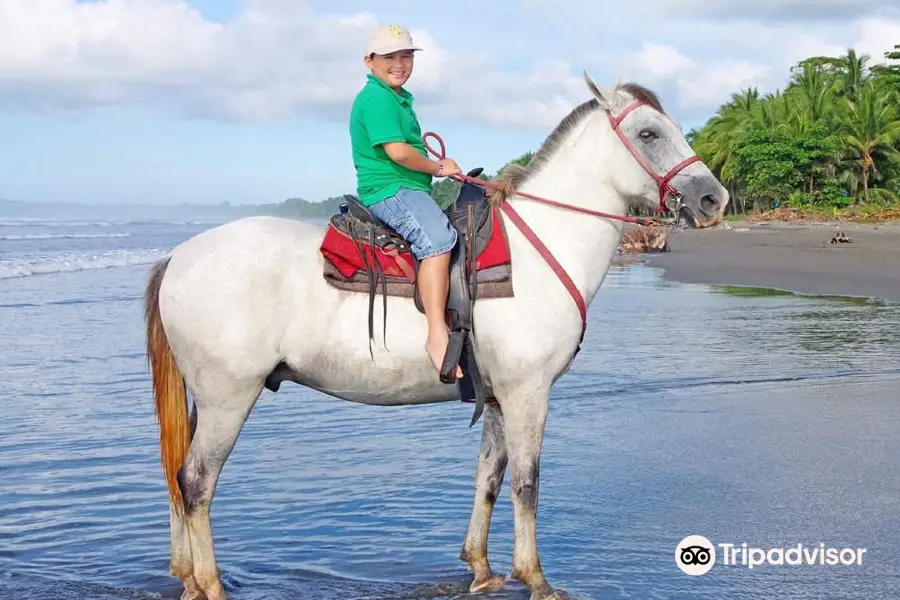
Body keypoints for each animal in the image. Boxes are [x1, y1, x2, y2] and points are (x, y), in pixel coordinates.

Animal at [144, 74, 728, 600]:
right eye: (649, 133)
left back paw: (188, 579)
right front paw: (535, 579)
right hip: (227, 397)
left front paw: (483, 569)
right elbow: (527, 483)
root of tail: (179, 256)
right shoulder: (529, 393)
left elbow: (489, 477)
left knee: (178, 476)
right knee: (196, 482)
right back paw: (211, 584)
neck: (539, 248)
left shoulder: (499, 396)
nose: (713, 198)